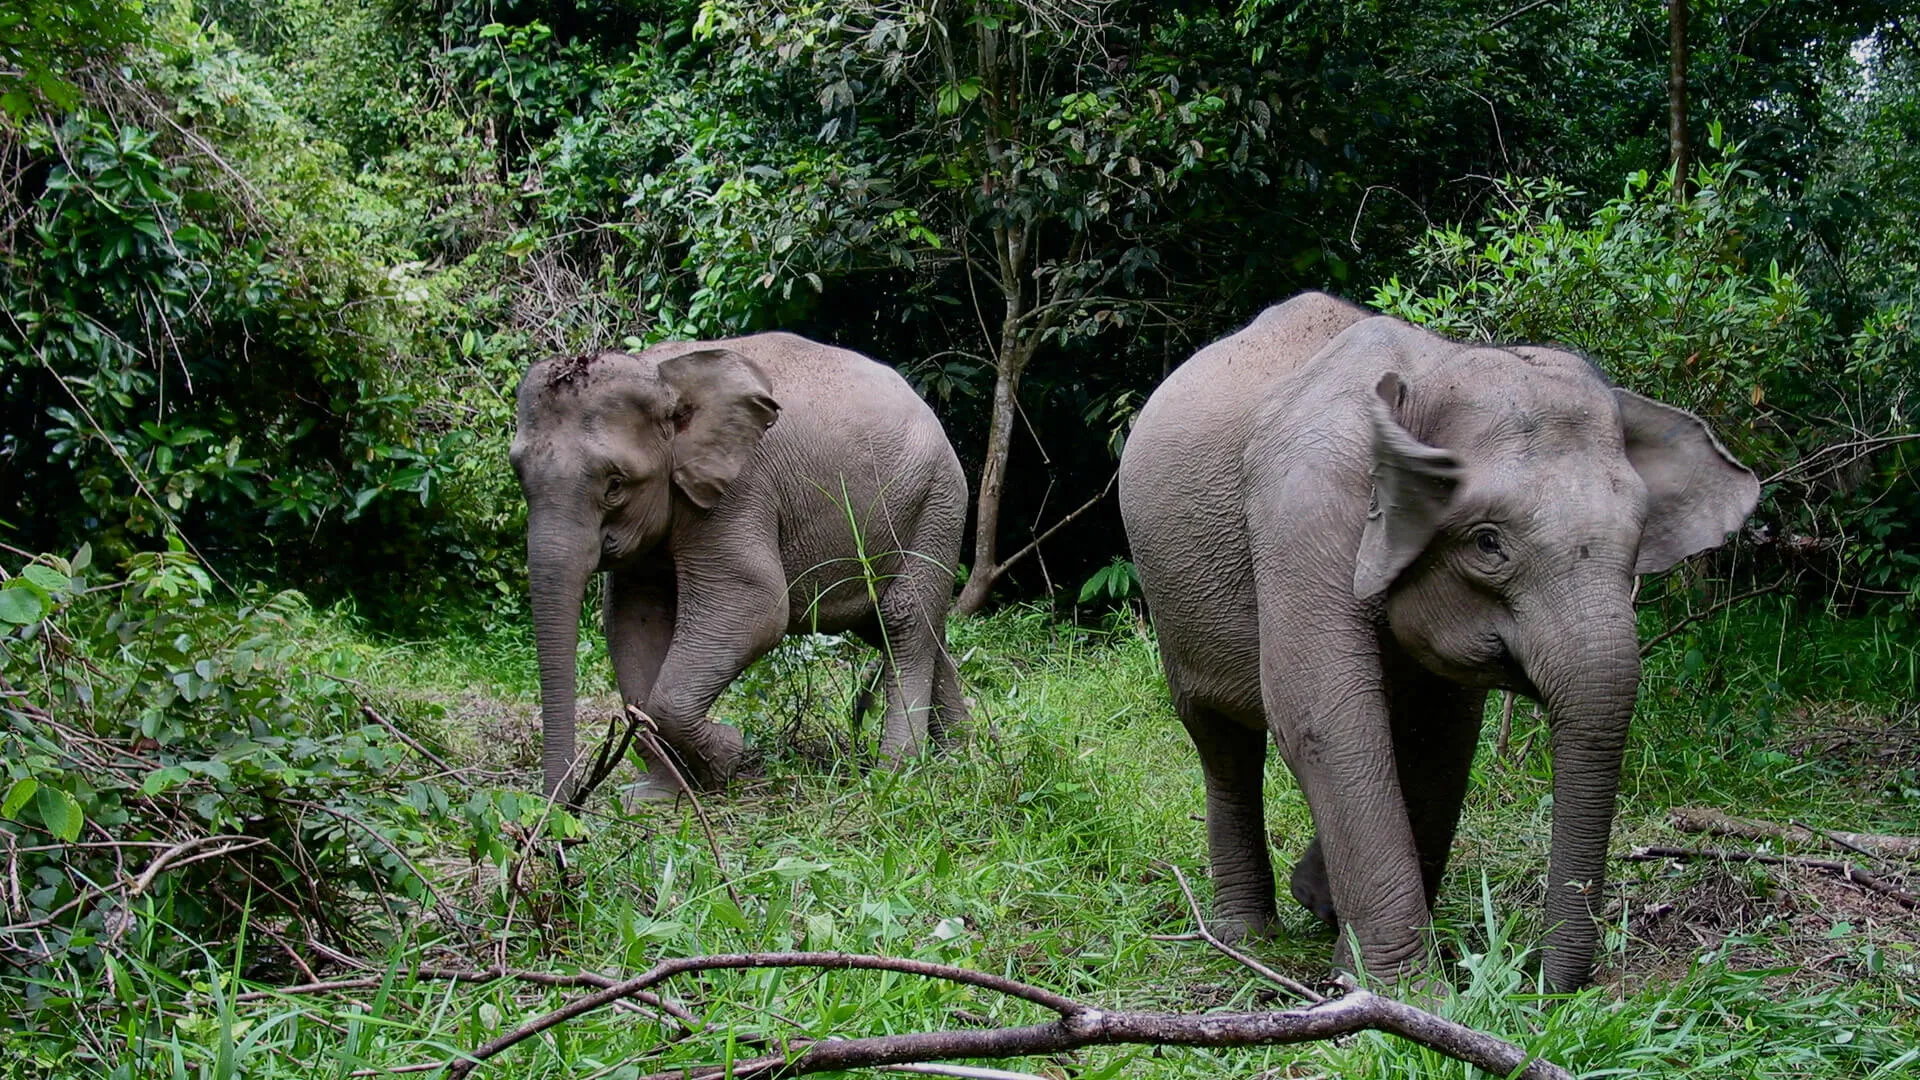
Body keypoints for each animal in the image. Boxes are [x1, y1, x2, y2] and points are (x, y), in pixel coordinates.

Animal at [511, 333, 970, 802]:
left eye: (615, 484)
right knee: (898, 626)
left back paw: (895, 774)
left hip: (938, 502)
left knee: (903, 619)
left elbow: (756, 607)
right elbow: (632, 620)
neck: (660, 374)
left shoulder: (741, 489)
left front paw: (727, 758)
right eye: (518, 475)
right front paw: (655, 798)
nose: (563, 810)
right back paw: (959, 754)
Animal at [1117, 292, 1759, 992]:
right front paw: (1406, 994)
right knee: (1222, 741)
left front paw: (1340, 928)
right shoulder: (1301, 507)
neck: (1429, 374)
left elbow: (1442, 730)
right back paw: (1247, 935)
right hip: (1170, 594)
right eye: (1488, 543)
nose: (1542, 985)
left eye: (1640, 536)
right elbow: (1322, 716)